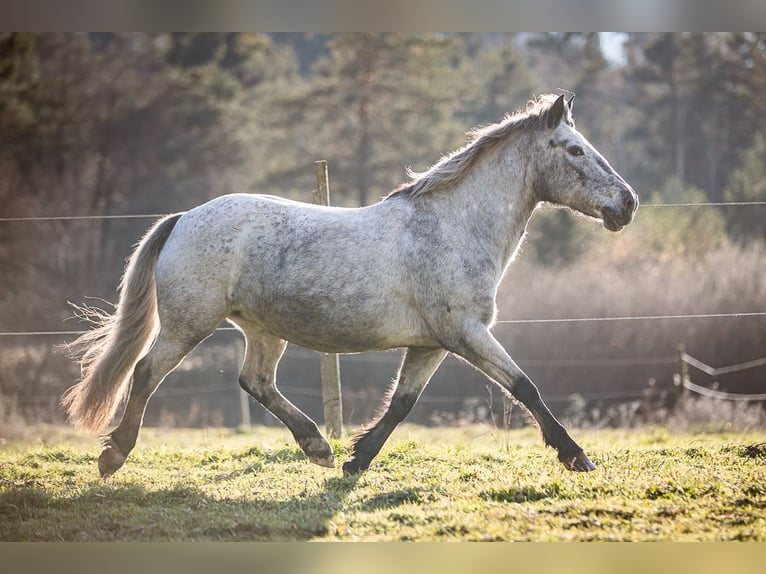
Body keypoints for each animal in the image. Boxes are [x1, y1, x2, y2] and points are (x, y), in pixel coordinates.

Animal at [63, 95, 636, 482]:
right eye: (575, 150)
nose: (627, 204)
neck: (453, 226)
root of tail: (183, 218)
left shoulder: (432, 344)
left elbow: (403, 403)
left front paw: (356, 460)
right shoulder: (466, 333)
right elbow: (524, 386)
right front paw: (576, 456)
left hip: (263, 330)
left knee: (255, 382)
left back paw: (318, 447)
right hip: (189, 324)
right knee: (146, 372)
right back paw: (113, 456)